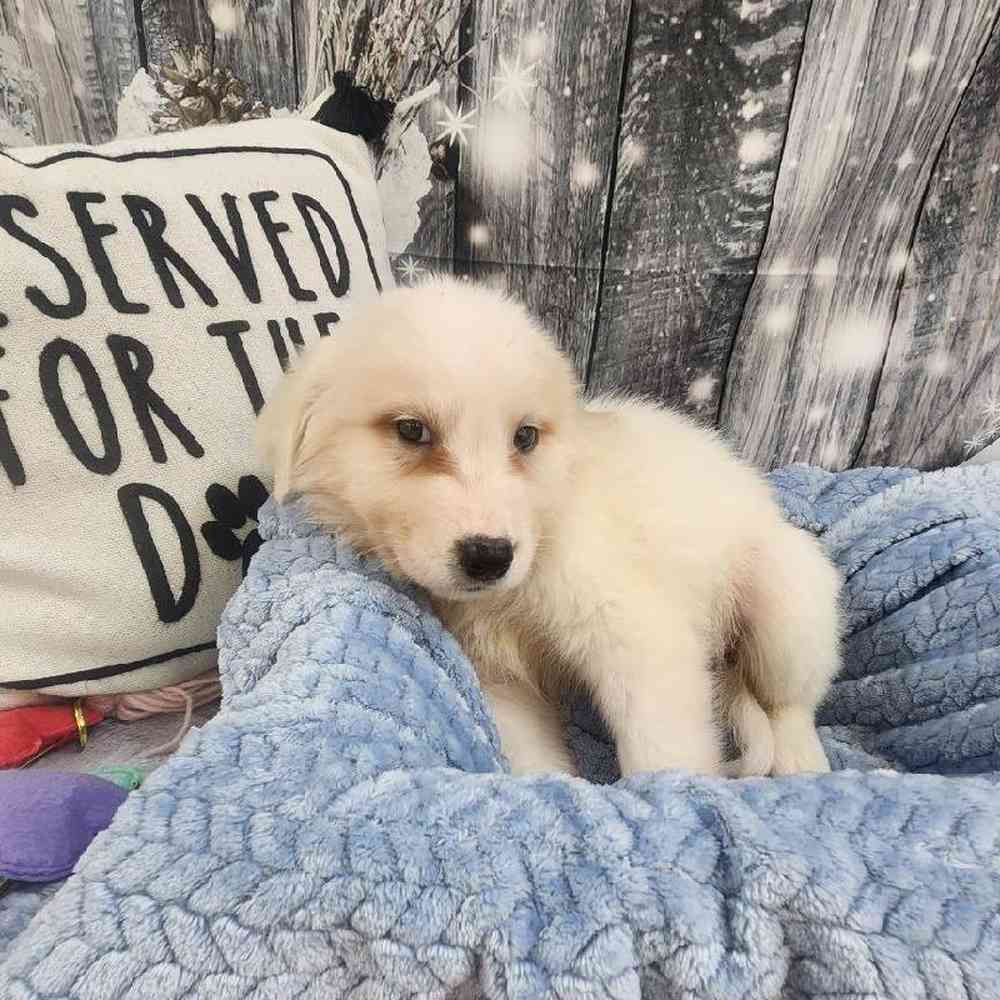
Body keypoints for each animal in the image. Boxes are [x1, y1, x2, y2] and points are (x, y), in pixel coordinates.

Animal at [260, 280, 844, 780]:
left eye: (525, 438)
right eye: (410, 431)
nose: (490, 556)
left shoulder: (642, 643)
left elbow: (665, 755)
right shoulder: (500, 680)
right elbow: (539, 765)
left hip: (787, 601)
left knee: (792, 703)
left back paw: (803, 762)